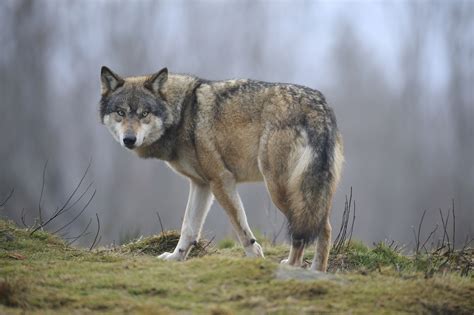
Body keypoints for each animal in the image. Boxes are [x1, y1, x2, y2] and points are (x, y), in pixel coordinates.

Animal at [98, 66, 342, 272]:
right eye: (121, 113)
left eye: (144, 113)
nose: (129, 139)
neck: (183, 115)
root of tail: (317, 106)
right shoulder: (201, 184)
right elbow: (189, 228)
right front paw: (176, 258)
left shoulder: (220, 180)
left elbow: (242, 229)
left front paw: (255, 258)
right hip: (309, 190)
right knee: (325, 227)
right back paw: (317, 270)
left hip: (280, 189)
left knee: (307, 230)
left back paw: (292, 266)